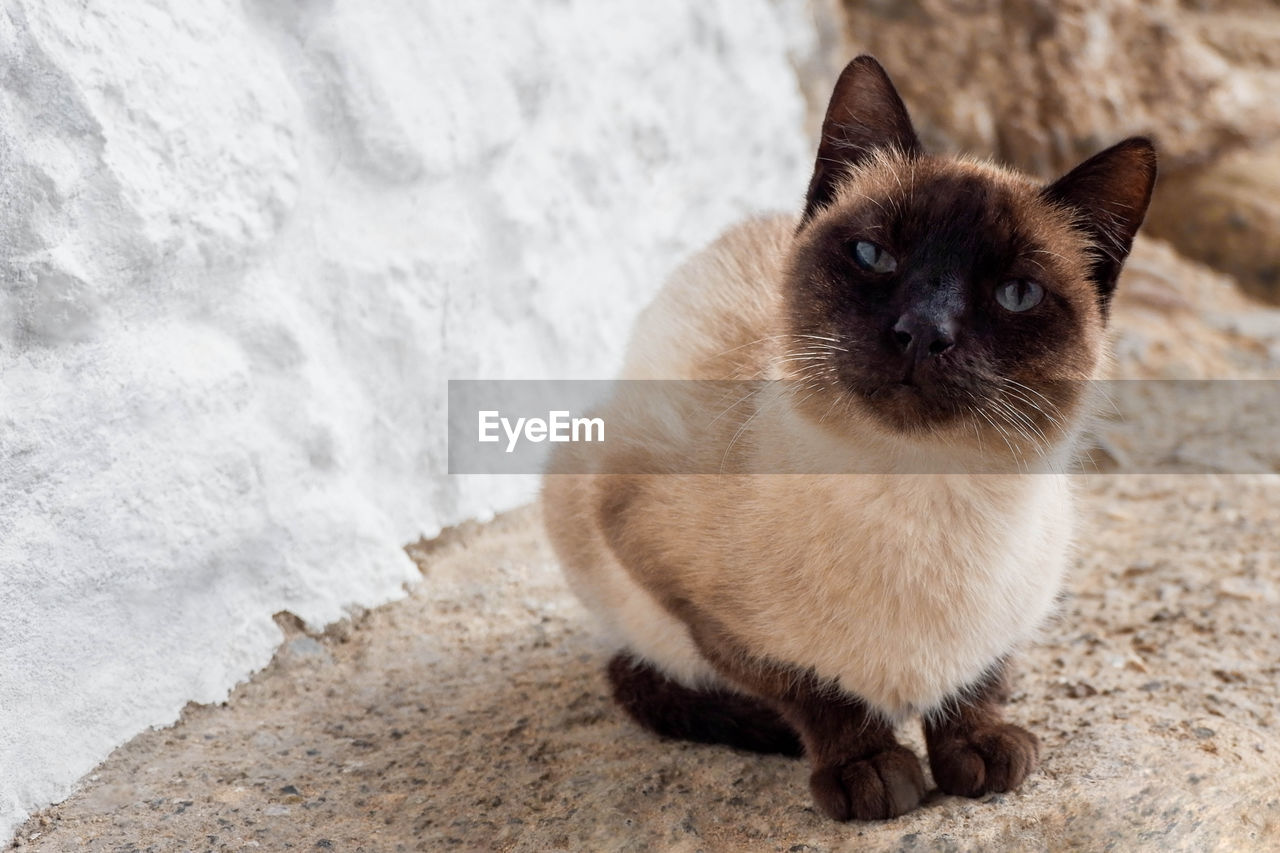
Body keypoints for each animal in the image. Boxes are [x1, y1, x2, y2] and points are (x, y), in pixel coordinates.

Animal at [535, 54, 1157, 819]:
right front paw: (873, 770)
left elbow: (980, 678)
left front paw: (977, 750)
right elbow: (813, 687)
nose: (923, 331)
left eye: (1016, 294)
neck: (921, 497)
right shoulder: (667, 569)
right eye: (873, 255)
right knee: (635, 668)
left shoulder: (1016, 615)